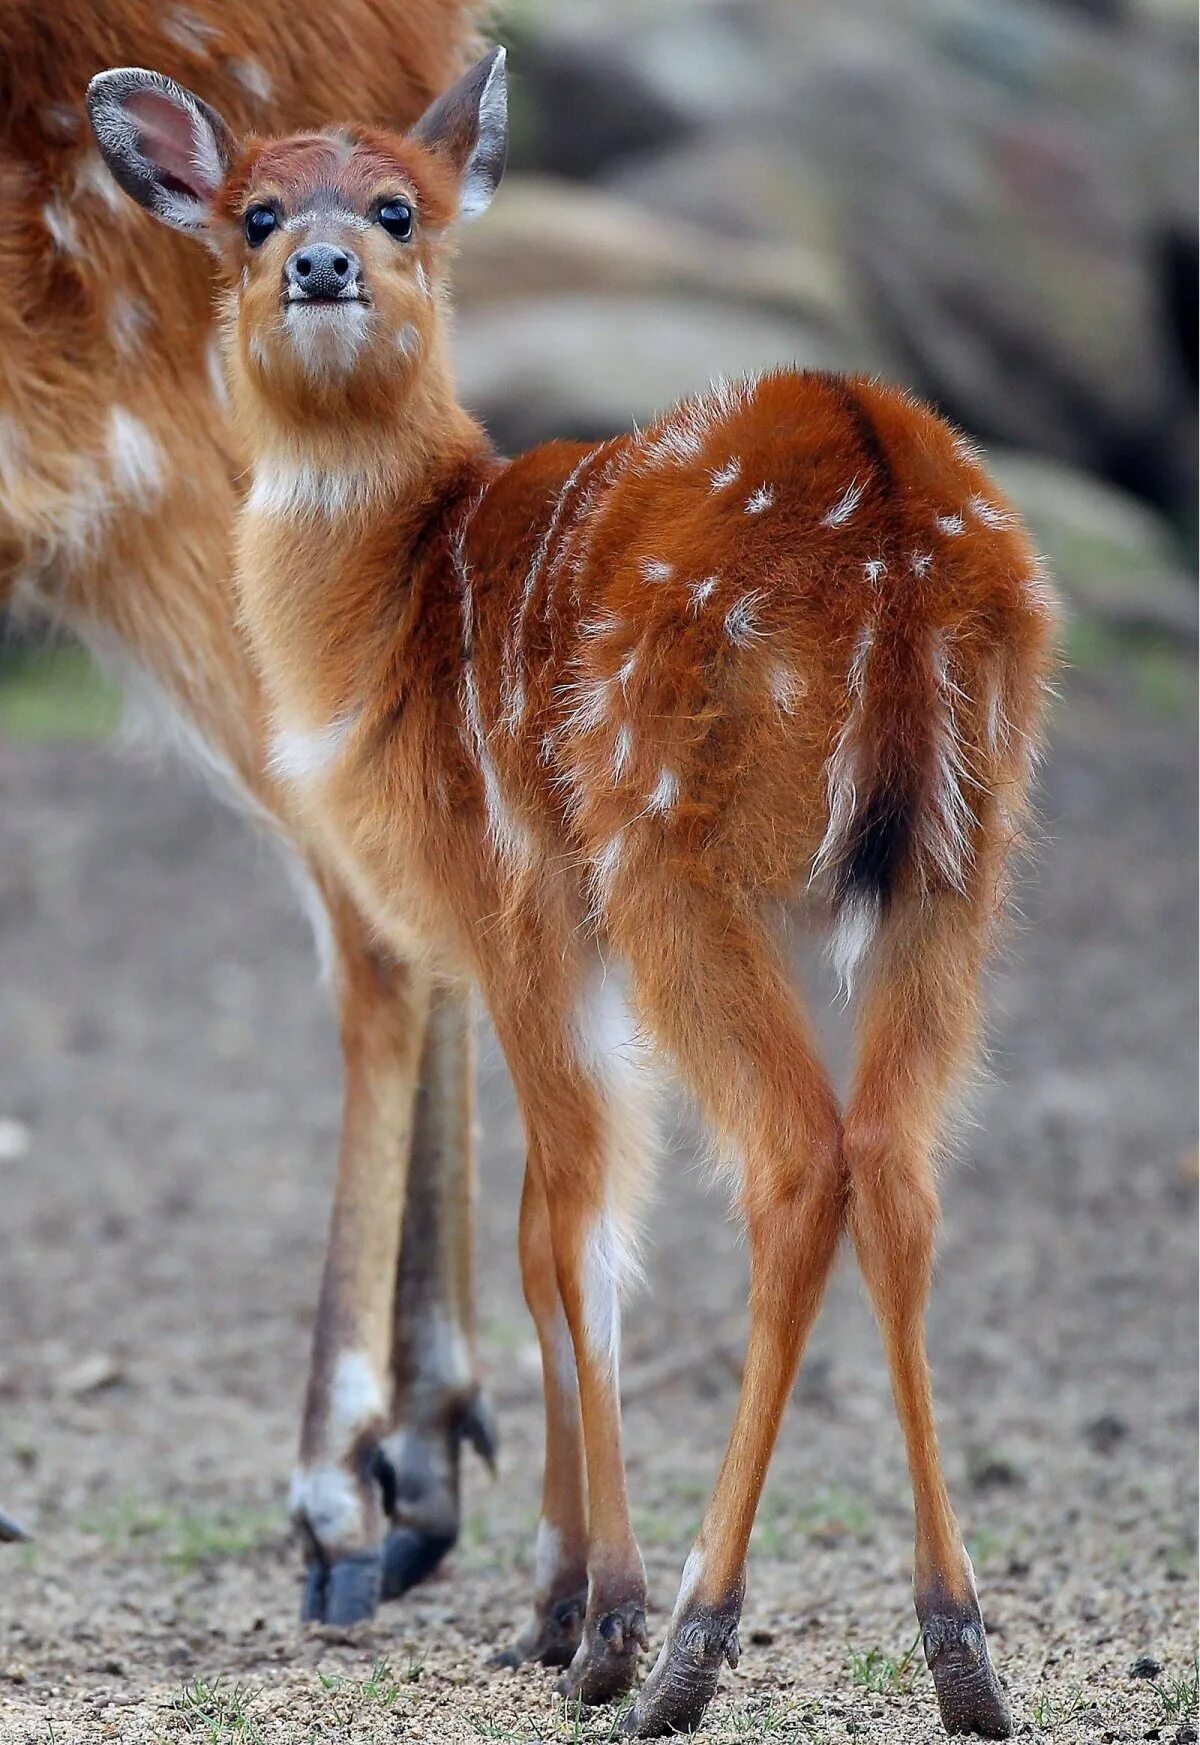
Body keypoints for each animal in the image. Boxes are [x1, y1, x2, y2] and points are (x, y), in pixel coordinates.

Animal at [0, 0, 495, 1626]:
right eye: (261, 215)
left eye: (375, 215)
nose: (321, 260)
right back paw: (425, 1463)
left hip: (147, 430)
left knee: (378, 925)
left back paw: (343, 1490)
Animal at [86, 47, 1060, 1738]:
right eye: (256, 212)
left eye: (396, 208)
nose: (323, 265)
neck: (389, 609)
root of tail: (892, 529)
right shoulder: (535, 949)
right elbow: (562, 1231)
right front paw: (543, 1610)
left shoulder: (520, 911)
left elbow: (569, 1240)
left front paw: (580, 1618)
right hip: (957, 868)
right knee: (903, 1169)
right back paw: (961, 1654)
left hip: (669, 849)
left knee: (797, 1161)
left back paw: (679, 1646)